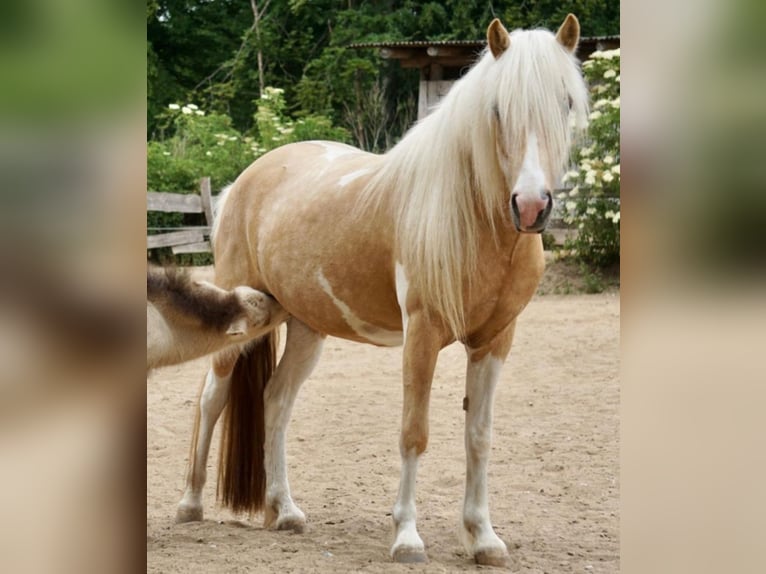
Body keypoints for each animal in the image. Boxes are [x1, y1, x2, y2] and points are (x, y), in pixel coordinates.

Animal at [175, 15, 588, 566]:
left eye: (566, 102)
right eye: (498, 109)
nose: (530, 206)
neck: (471, 220)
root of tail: (242, 182)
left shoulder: (495, 340)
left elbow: (478, 437)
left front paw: (484, 538)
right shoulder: (422, 335)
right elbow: (414, 433)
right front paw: (407, 537)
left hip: (305, 327)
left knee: (275, 401)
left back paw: (284, 510)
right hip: (239, 318)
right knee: (211, 399)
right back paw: (190, 504)